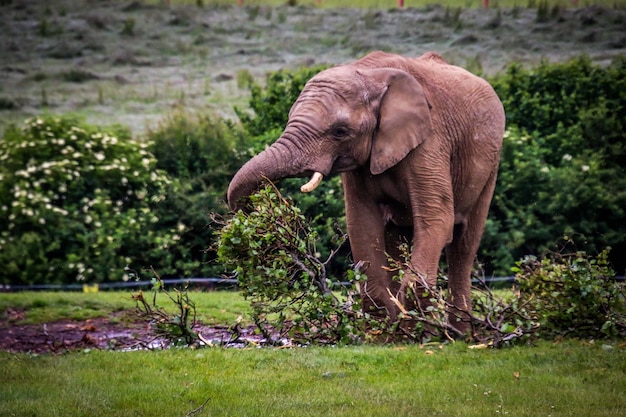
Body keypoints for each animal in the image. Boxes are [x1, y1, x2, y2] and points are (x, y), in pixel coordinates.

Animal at [227, 50, 504, 334]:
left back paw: (459, 333)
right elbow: (362, 223)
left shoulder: (430, 140)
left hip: (490, 164)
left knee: (463, 245)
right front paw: (383, 332)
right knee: (396, 238)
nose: (268, 208)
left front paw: (416, 326)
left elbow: (436, 218)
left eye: (340, 131)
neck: (369, 74)